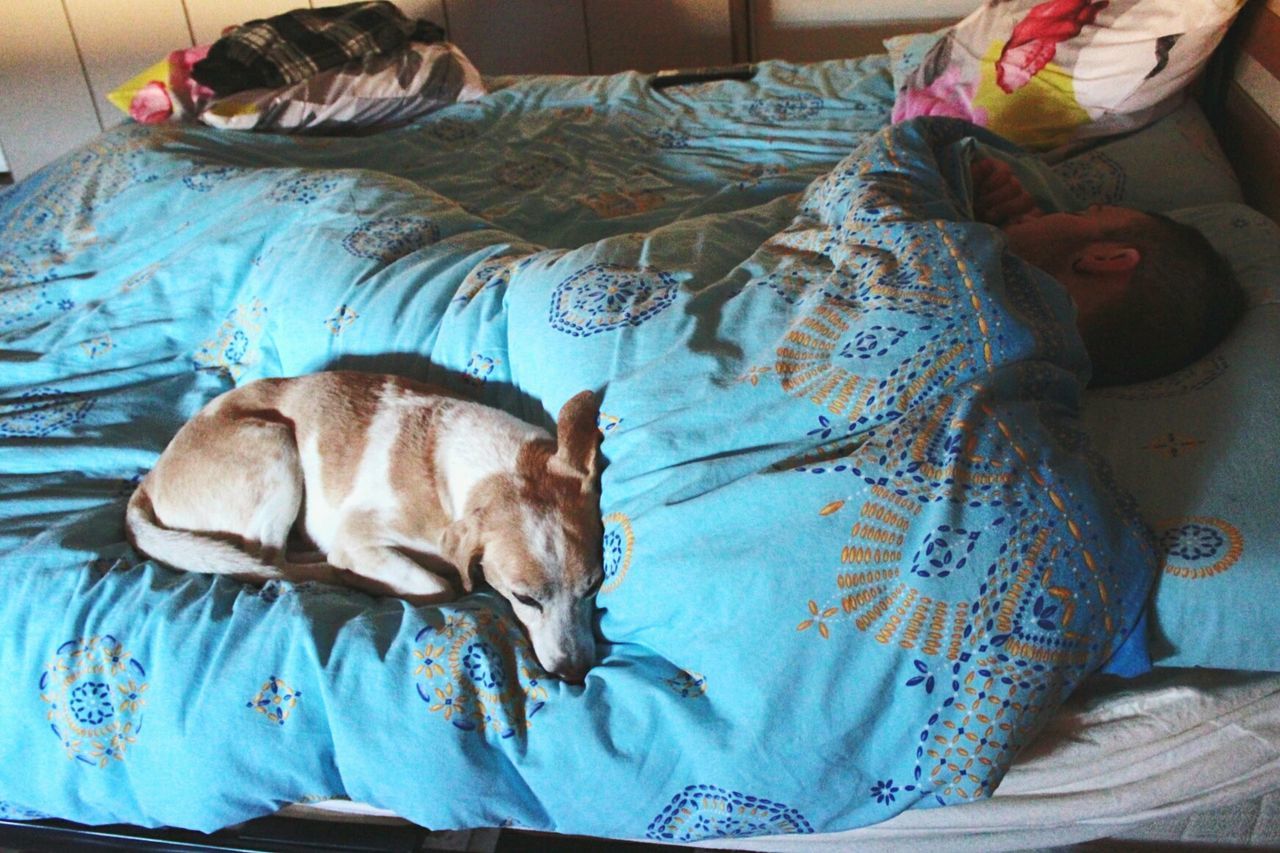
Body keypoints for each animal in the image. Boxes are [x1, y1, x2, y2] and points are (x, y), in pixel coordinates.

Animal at [124, 368, 604, 681]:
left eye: (594, 587)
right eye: (524, 599)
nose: (576, 671)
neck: (494, 468)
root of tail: (147, 483)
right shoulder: (361, 539)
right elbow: (438, 585)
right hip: (276, 446)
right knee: (266, 561)